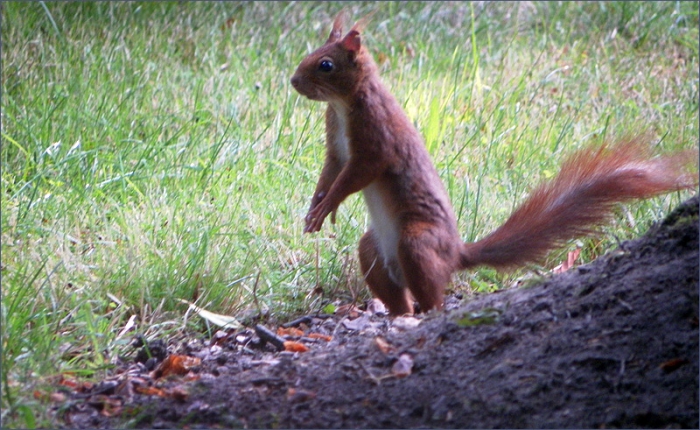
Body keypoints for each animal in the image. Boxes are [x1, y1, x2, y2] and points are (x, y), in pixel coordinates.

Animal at [290, 12, 698, 316]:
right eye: (310, 52)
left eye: (325, 64)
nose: (293, 81)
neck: (343, 105)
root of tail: (456, 254)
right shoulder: (337, 146)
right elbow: (331, 172)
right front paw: (316, 208)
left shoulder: (377, 139)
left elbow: (356, 174)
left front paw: (329, 205)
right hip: (374, 251)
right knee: (398, 295)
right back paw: (398, 315)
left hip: (417, 240)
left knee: (432, 297)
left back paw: (423, 314)